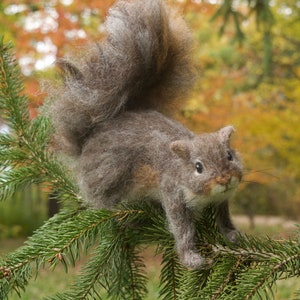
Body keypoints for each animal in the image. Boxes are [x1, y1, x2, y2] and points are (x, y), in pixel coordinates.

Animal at [47, 0, 244, 270]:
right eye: (198, 167)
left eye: (230, 156)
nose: (224, 179)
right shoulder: (172, 192)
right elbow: (183, 229)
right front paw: (190, 258)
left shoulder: (221, 200)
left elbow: (224, 217)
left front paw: (233, 235)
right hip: (109, 177)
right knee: (101, 204)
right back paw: (123, 218)